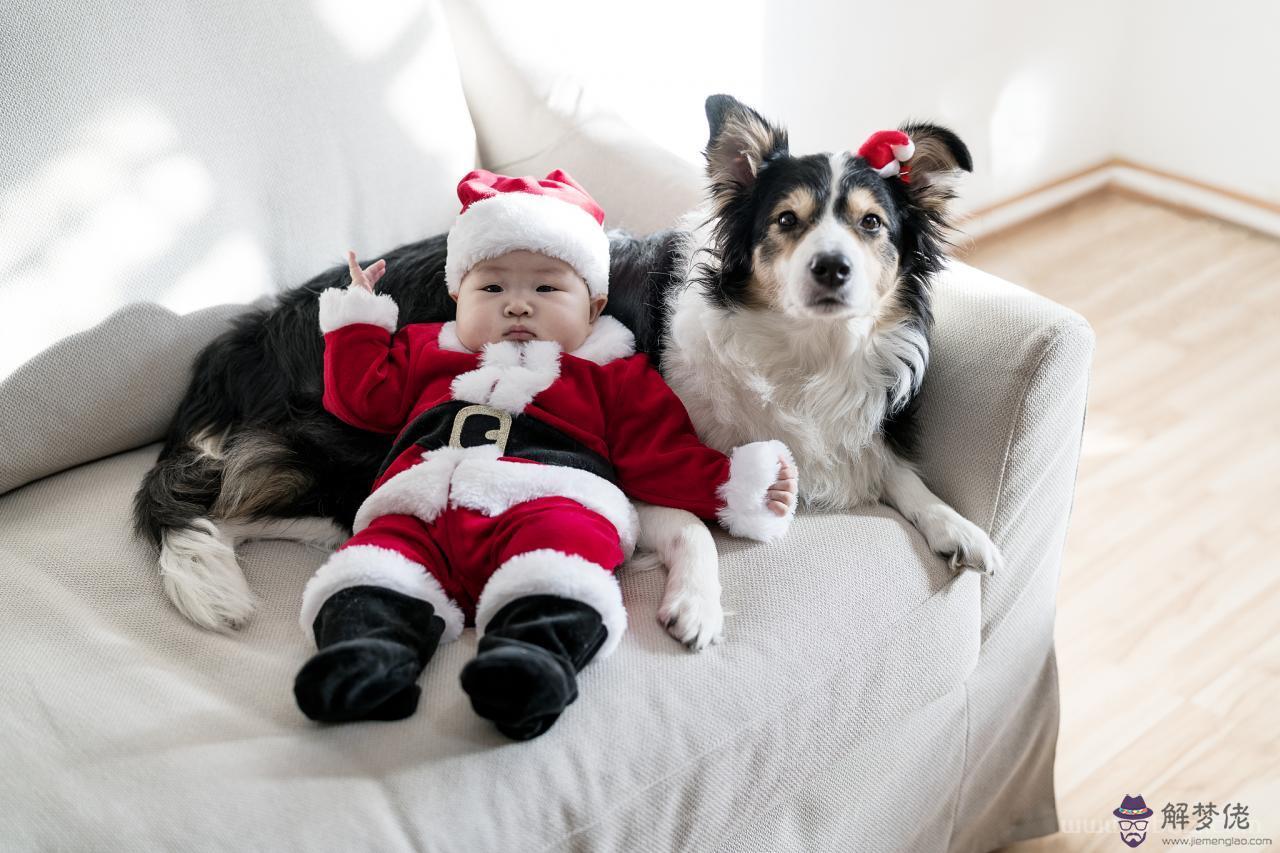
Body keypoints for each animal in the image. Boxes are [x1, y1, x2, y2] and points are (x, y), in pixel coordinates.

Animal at [137, 92, 998, 648]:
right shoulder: (633, 462)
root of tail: (245, 339)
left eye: (872, 225)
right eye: (787, 221)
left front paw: (960, 527)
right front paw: (697, 602)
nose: (831, 270)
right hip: (348, 452)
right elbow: (693, 520)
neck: (796, 349)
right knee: (238, 504)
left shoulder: (850, 430)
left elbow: (897, 471)